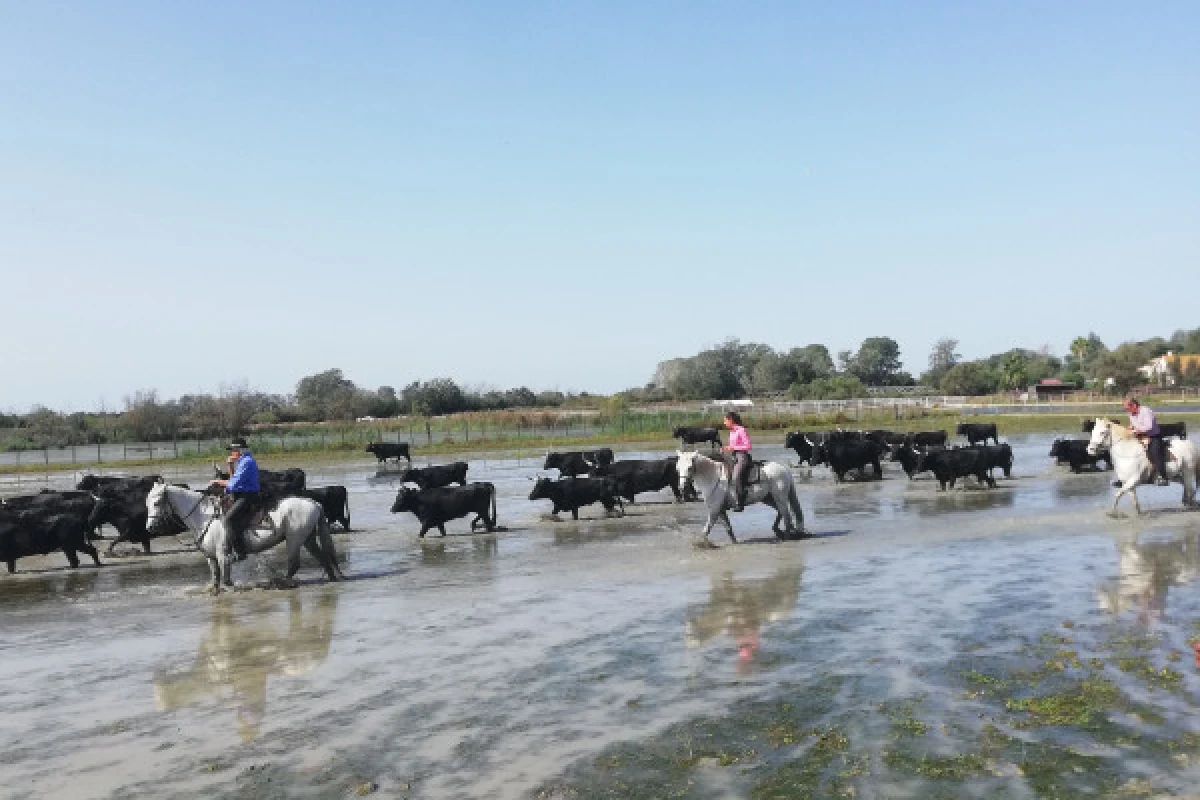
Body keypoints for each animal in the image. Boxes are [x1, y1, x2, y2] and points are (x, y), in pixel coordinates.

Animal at [145, 479, 345, 592]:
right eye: (147, 502)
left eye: (157, 502)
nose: (150, 527)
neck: (205, 516)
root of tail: (314, 502)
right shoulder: (211, 557)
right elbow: (215, 578)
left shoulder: (223, 555)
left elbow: (226, 579)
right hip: (307, 538)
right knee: (322, 557)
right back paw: (331, 578)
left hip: (294, 539)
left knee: (294, 563)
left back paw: (282, 582)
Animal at [676, 453, 806, 546]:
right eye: (677, 468)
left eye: (689, 467)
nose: (681, 487)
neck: (713, 477)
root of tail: (784, 468)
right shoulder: (721, 510)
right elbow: (728, 528)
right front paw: (734, 542)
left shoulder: (714, 511)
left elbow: (706, 529)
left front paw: (700, 543)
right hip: (769, 499)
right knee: (781, 512)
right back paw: (779, 530)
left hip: (779, 498)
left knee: (786, 516)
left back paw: (786, 537)